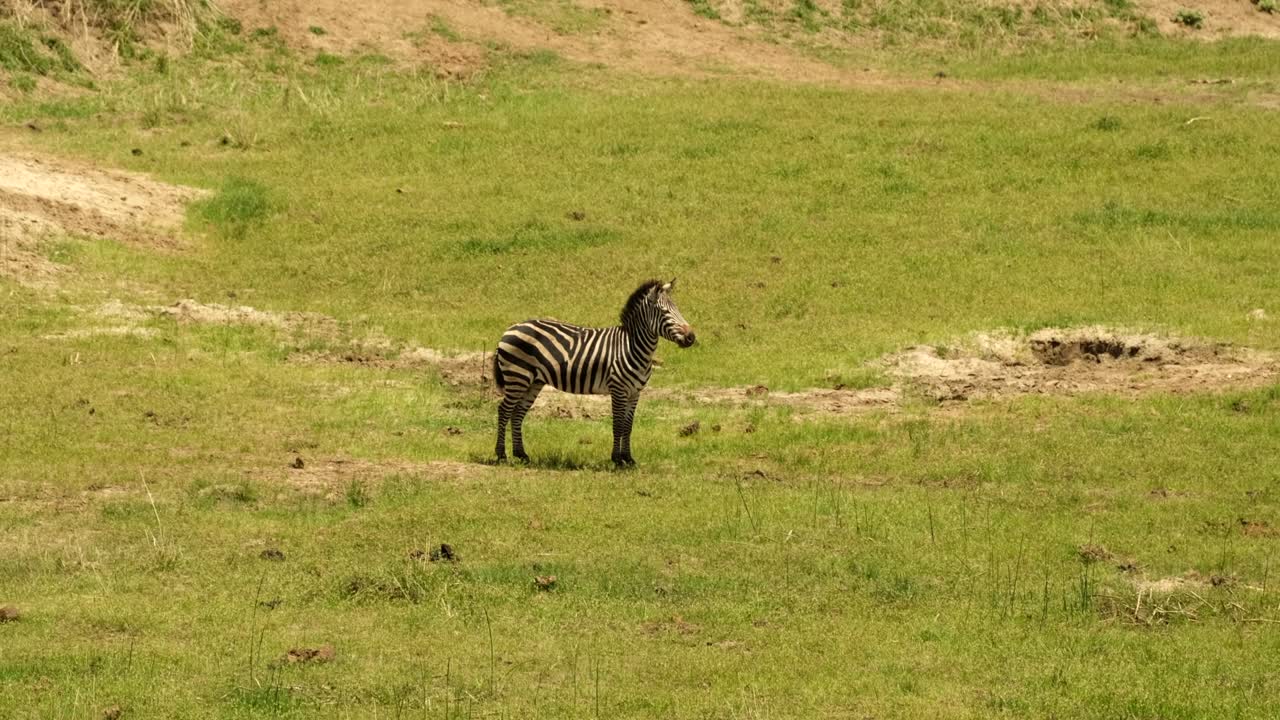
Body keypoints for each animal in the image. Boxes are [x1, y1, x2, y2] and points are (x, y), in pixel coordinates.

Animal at [492, 279, 696, 467]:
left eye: (677, 309)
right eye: (664, 312)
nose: (691, 337)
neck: (631, 346)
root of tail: (510, 329)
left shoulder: (634, 392)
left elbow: (628, 426)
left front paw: (628, 459)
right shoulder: (618, 389)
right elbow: (618, 425)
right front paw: (617, 459)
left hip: (533, 381)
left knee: (517, 413)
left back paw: (521, 454)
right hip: (517, 377)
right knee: (504, 410)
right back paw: (501, 455)